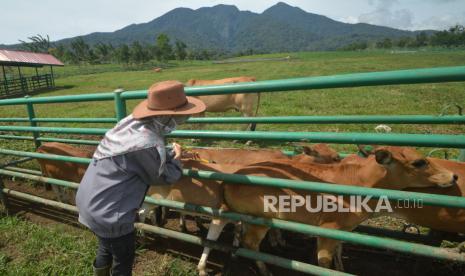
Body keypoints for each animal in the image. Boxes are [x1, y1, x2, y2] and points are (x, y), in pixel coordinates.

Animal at [222, 148, 456, 272]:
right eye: (419, 162)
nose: (454, 175)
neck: (360, 182)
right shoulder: (328, 228)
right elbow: (324, 260)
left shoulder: (344, 229)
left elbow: (339, 251)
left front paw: (342, 269)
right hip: (261, 219)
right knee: (250, 243)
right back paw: (265, 269)